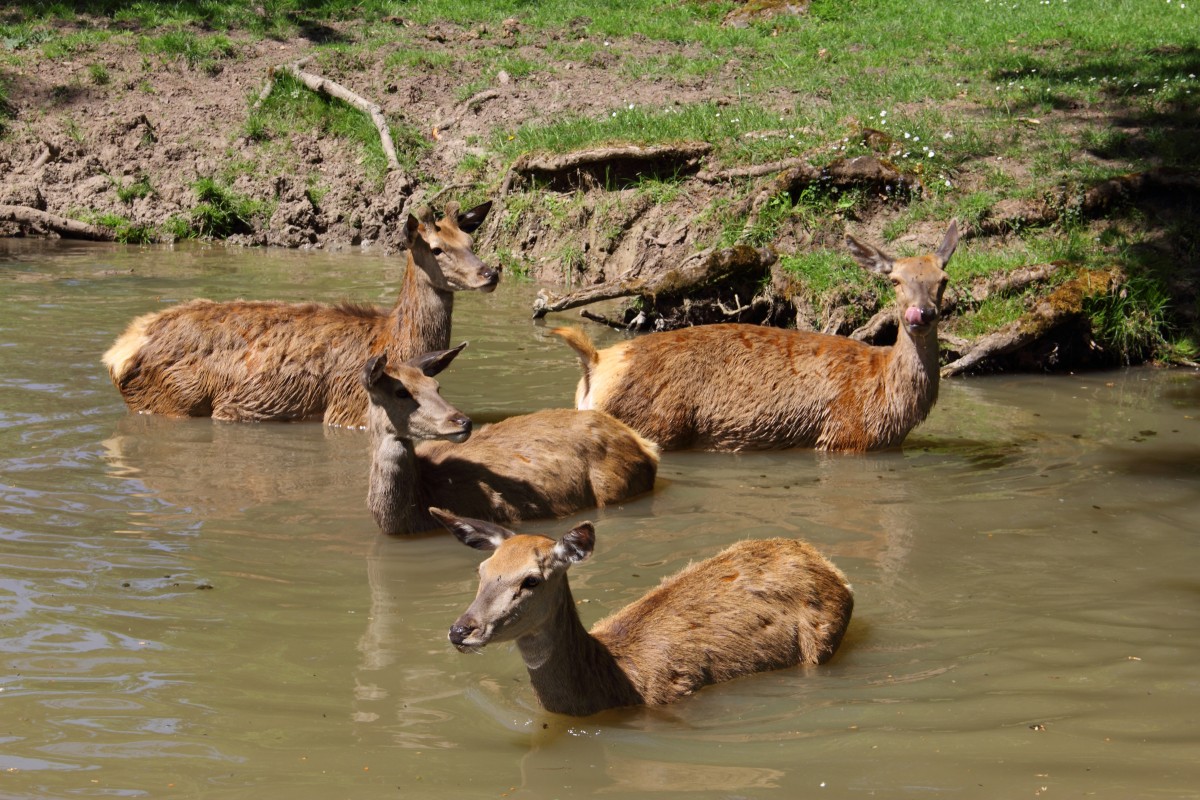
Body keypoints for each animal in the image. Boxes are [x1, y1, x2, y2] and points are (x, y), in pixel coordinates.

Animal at [102, 200, 496, 429]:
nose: (490, 273)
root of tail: (120, 352)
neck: (393, 338)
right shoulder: (348, 408)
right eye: (436, 248)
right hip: (171, 399)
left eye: (471, 243)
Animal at [549, 221, 955, 453]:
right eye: (895, 280)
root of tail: (595, 362)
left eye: (943, 280)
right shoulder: (844, 437)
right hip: (654, 425)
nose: (920, 314)